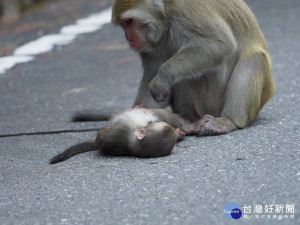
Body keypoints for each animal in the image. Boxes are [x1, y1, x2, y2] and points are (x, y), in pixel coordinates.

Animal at [73, 0, 274, 135]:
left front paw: (162, 77)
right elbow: (153, 72)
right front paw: (139, 112)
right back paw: (189, 122)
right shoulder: (152, 44)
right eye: (123, 24)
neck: (166, 15)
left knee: (253, 60)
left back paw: (228, 120)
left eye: (129, 21)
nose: (129, 39)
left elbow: (218, 44)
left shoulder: (188, 12)